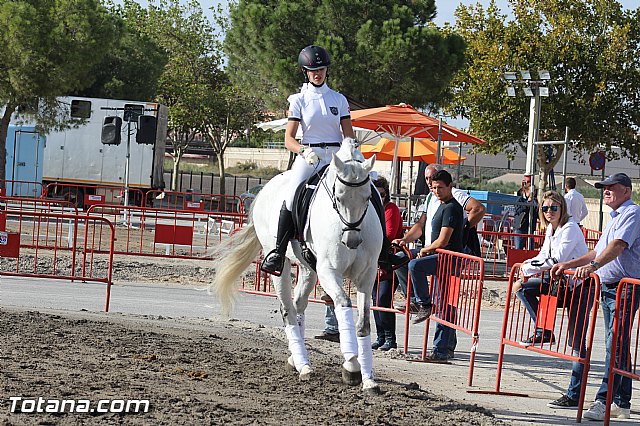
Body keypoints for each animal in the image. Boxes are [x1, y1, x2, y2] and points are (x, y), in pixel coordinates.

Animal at [210, 138, 382, 394]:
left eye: (368, 197)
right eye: (338, 197)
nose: (352, 241)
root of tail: (265, 190)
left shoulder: (367, 276)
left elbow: (363, 325)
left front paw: (368, 379)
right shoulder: (329, 271)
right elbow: (343, 304)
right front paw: (351, 366)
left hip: (308, 268)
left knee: (299, 306)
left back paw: (297, 359)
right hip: (280, 265)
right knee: (288, 310)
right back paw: (303, 366)